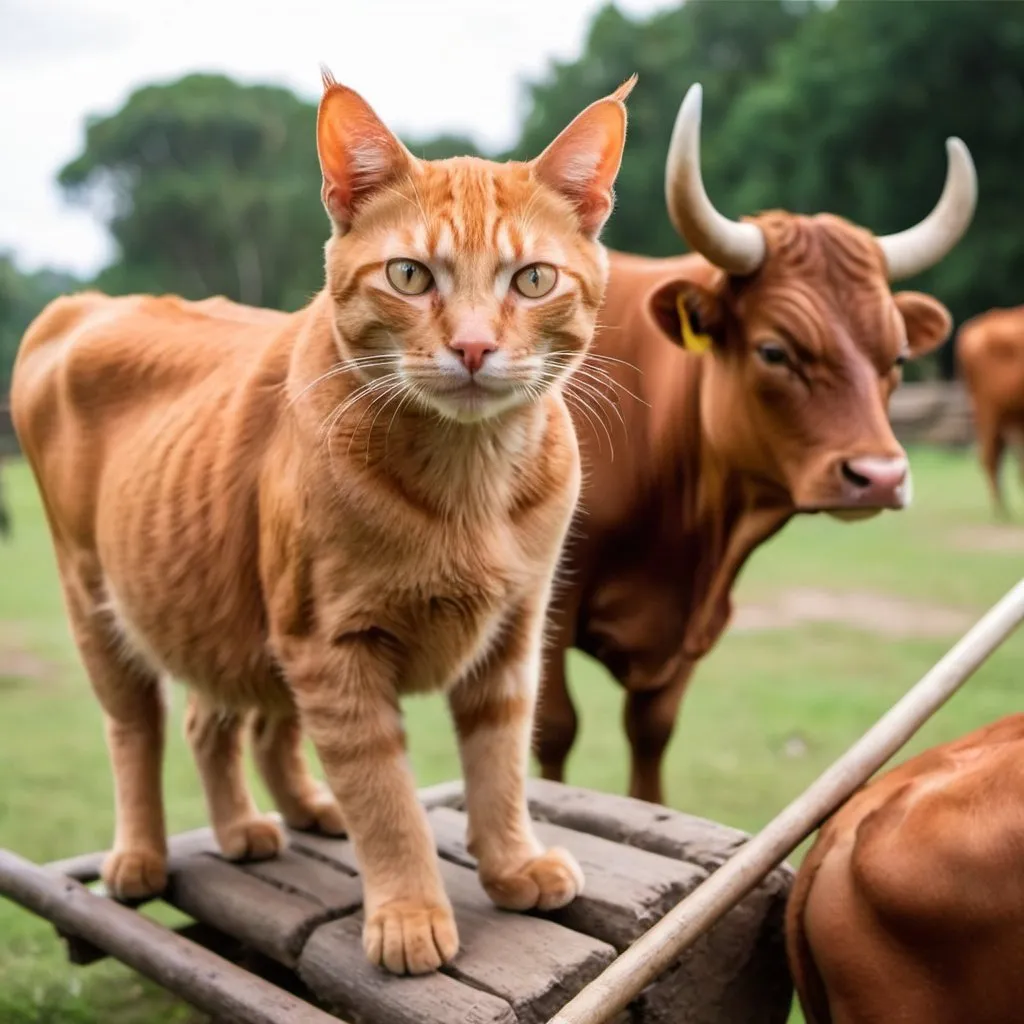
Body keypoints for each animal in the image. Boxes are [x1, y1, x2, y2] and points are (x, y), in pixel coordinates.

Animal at [9, 74, 630, 974]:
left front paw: (511, 863)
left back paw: (266, 818)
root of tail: (85, 303)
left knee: (219, 722)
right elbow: (386, 797)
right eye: (409, 275)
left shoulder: (513, 636)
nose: (475, 347)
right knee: (138, 729)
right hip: (105, 606)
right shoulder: (332, 647)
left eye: (532, 280)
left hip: (225, 610)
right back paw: (141, 855)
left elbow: (500, 766)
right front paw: (409, 911)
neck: (469, 481)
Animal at [536, 86, 974, 806]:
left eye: (900, 355)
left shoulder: (687, 637)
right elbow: (552, 730)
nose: (880, 476)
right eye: (774, 351)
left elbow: (651, 732)